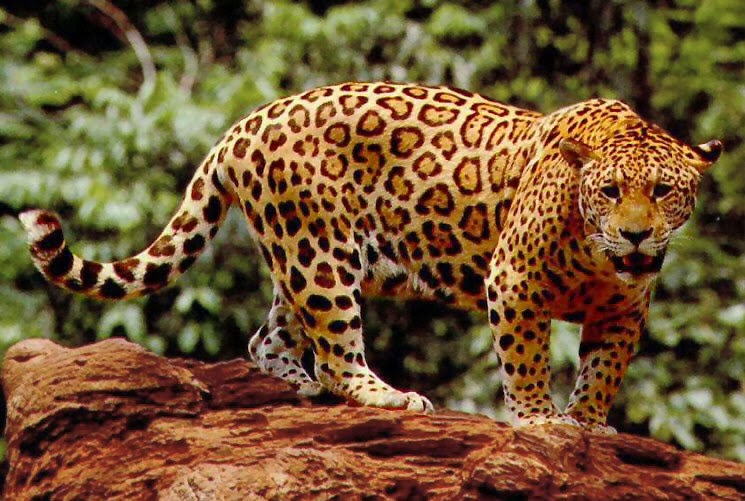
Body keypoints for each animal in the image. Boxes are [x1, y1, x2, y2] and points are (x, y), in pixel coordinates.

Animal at [20, 82, 722, 432]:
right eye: (610, 192)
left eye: (662, 191)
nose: (636, 236)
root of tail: (243, 124)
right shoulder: (514, 279)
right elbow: (525, 357)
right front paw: (539, 421)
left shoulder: (624, 309)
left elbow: (604, 369)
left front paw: (590, 423)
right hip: (321, 254)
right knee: (335, 352)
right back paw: (386, 396)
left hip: (302, 257)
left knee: (267, 337)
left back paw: (298, 387)